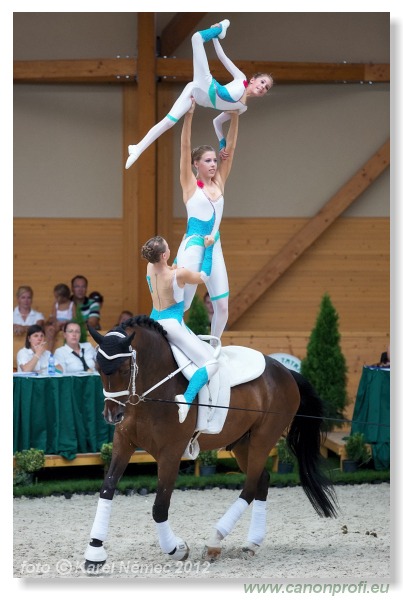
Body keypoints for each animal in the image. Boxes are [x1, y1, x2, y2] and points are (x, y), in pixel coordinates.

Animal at [84, 316, 338, 568]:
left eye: (126, 369)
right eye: (98, 369)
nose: (112, 415)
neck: (151, 392)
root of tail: (286, 372)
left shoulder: (170, 453)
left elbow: (159, 507)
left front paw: (176, 549)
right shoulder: (124, 443)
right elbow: (107, 489)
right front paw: (95, 551)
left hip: (263, 439)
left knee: (249, 487)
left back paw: (214, 542)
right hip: (242, 443)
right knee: (262, 480)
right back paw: (251, 543)